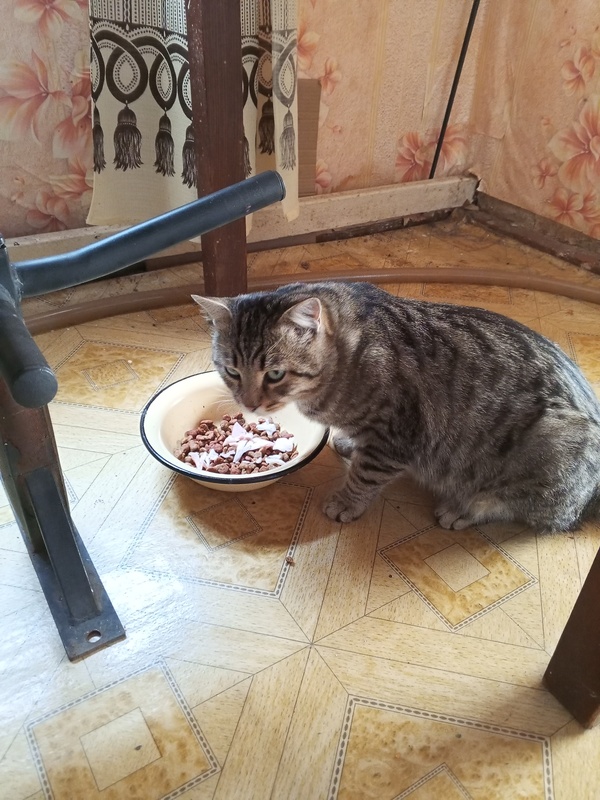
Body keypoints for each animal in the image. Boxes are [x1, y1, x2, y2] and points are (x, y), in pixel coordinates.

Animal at [193, 281, 600, 532]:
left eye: (275, 373)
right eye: (232, 371)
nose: (250, 403)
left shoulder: (395, 436)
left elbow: (365, 475)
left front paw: (347, 501)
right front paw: (348, 443)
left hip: (550, 445)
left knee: (521, 508)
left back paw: (462, 509)